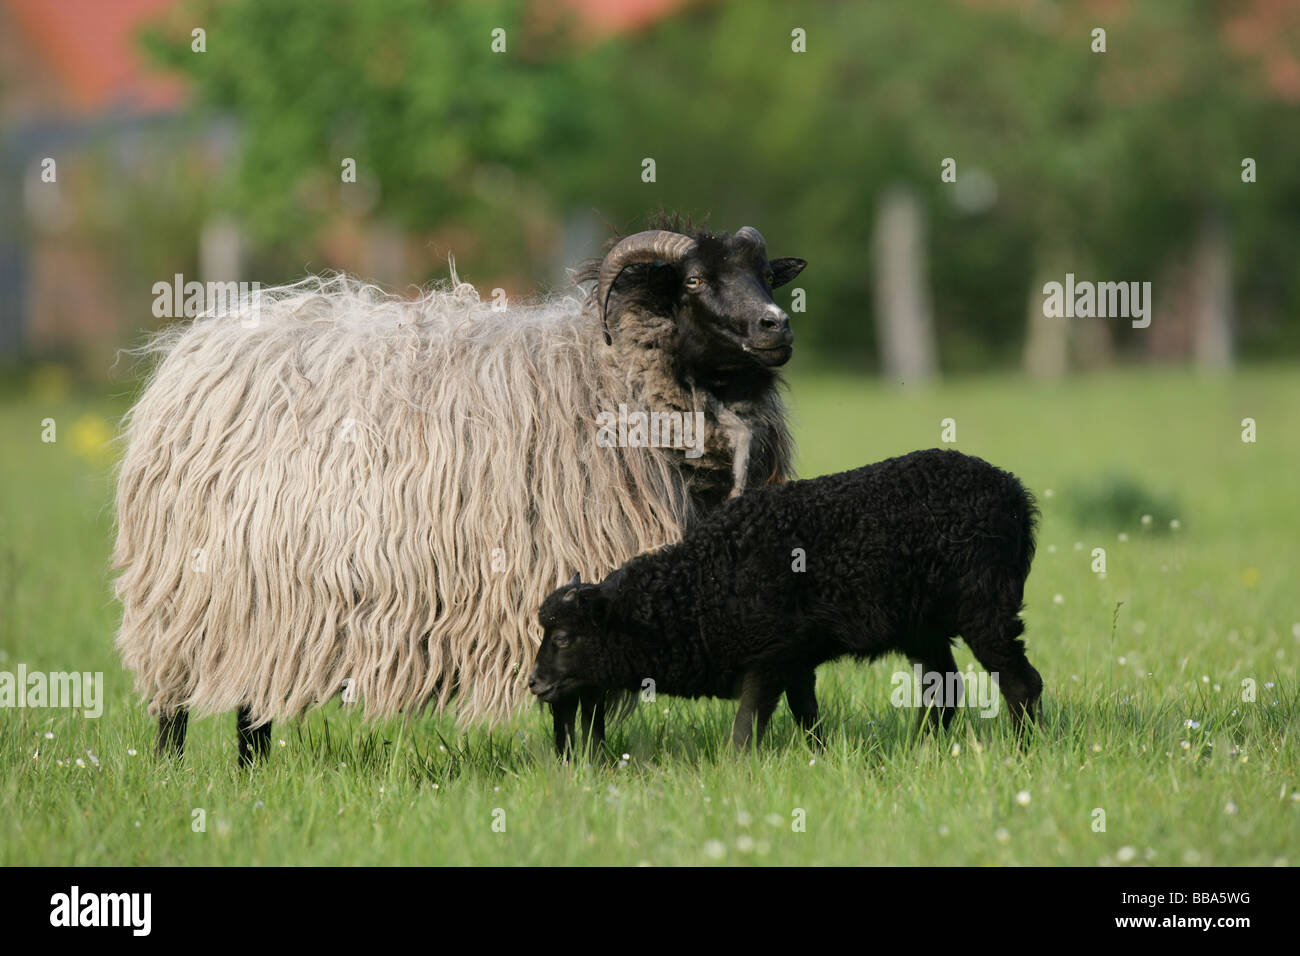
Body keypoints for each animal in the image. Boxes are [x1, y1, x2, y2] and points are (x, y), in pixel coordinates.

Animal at [112, 216, 808, 764]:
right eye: (692, 281)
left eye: (766, 276)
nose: (777, 326)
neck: (610, 376)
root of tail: (198, 345)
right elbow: (575, 699)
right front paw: (580, 767)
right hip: (190, 593)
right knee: (173, 702)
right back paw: (172, 770)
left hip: (266, 602)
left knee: (254, 702)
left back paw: (252, 773)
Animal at [529, 448, 1042, 752]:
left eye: (564, 637)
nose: (535, 683)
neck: (698, 590)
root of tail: (1015, 492)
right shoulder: (796, 661)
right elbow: (805, 715)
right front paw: (820, 758)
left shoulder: (769, 658)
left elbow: (746, 726)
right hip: (923, 628)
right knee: (944, 690)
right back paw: (920, 748)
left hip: (986, 611)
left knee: (1021, 683)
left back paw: (1022, 749)